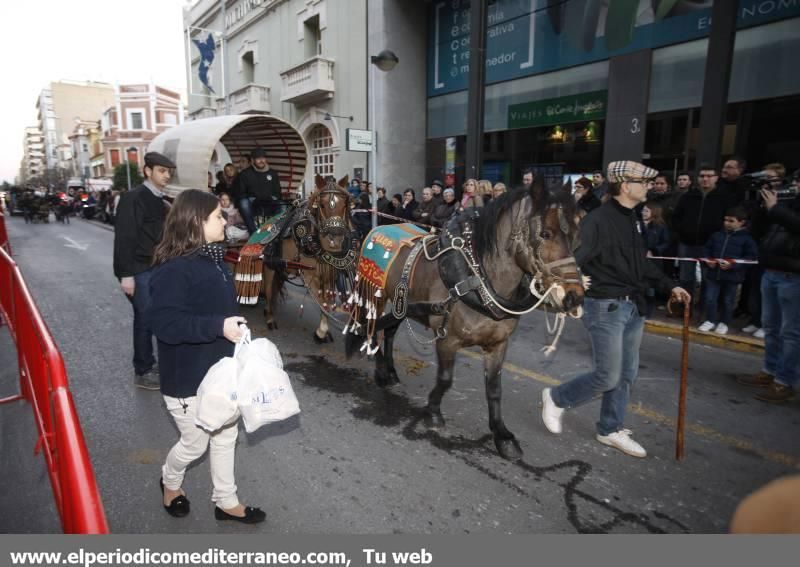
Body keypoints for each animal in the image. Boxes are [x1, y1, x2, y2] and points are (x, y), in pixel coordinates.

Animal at [262, 173, 360, 342]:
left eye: (344, 205)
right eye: (321, 205)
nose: (335, 241)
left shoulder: (329, 275)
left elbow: (327, 302)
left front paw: (324, 331)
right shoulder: (309, 275)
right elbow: (322, 302)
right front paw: (321, 331)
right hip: (269, 266)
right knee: (268, 290)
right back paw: (270, 318)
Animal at [342, 182, 580, 462]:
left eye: (575, 236)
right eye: (545, 233)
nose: (574, 296)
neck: (477, 278)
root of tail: (377, 229)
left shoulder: (498, 345)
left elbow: (494, 389)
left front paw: (502, 435)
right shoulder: (447, 339)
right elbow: (445, 379)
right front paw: (433, 411)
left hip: (403, 304)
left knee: (388, 330)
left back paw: (389, 371)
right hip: (377, 295)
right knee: (371, 329)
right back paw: (380, 370)